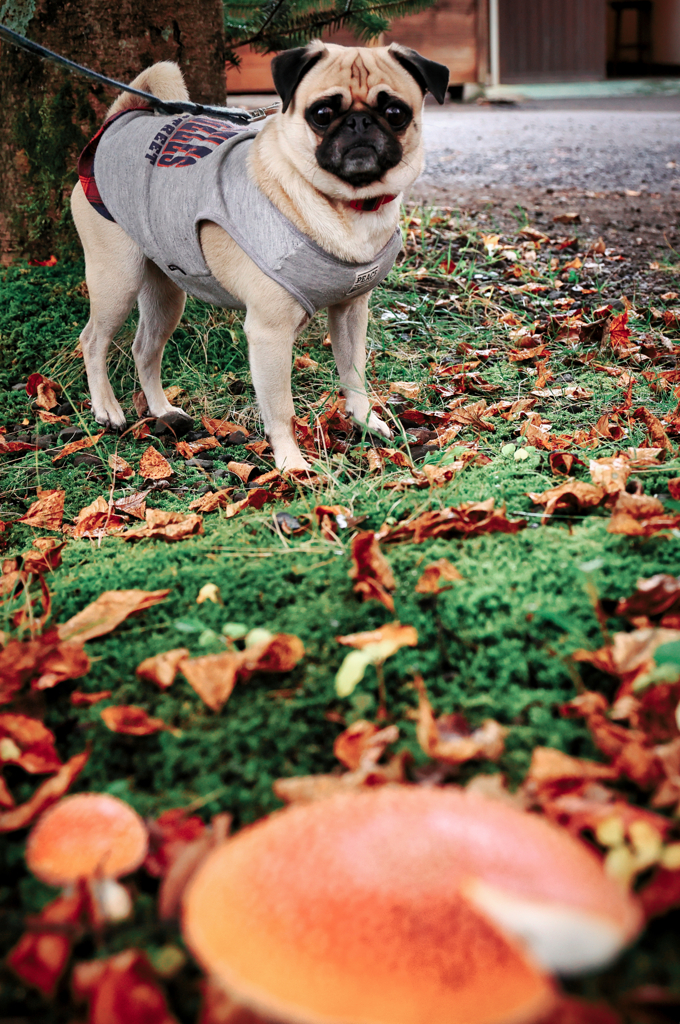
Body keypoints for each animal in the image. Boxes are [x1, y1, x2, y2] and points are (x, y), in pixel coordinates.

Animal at [71, 40, 448, 471]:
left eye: (395, 113)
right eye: (321, 114)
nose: (359, 123)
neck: (349, 208)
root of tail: (119, 119)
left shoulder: (351, 312)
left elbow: (354, 374)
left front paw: (364, 421)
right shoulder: (270, 333)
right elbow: (281, 408)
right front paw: (291, 464)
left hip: (166, 294)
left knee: (144, 350)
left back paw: (163, 410)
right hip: (117, 279)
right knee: (93, 340)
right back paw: (107, 409)